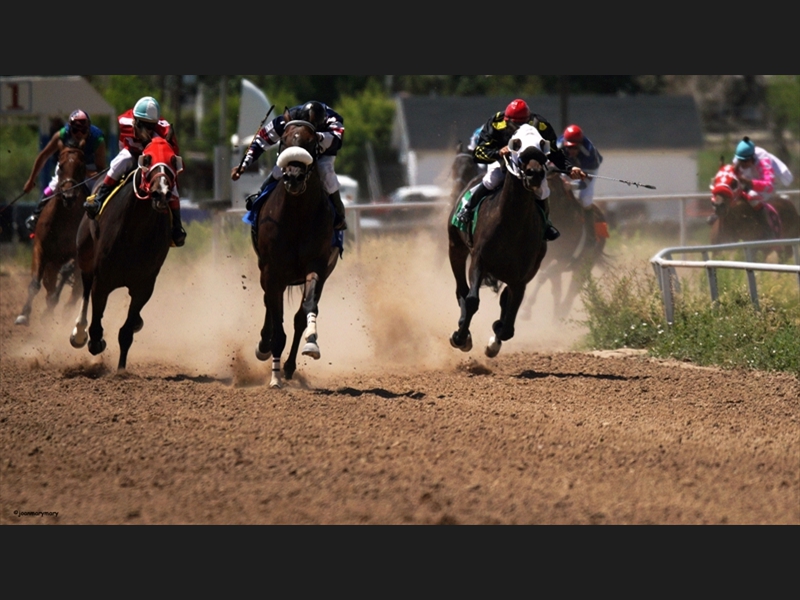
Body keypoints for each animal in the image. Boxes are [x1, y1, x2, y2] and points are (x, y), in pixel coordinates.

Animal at [15, 142, 87, 326]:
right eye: (60, 166)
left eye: (81, 167)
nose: (69, 196)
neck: (63, 220)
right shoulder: (41, 248)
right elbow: (35, 283)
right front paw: (24, 314)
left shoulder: (76, 254)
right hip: (52, 263)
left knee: (75, 292)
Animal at [68, 138, 184, 370]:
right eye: (147, 159)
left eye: (172, 160)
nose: (161, 193)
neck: (135, 233)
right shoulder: (102, 280)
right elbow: (96, 324)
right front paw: (95, 341)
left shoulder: (144, 286)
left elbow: (126, 332)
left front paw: (121, 369)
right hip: (85, 253)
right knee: (85, 287)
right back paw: (79, 333)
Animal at [250, 118, 338, 390]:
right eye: (284, 140)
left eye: (311, 142)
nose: (294, 177)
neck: (297, 215)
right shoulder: (272, 271)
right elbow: (276, 322)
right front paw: (274, 376)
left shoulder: (317, 265)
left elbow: (306, 310)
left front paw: (312, 342)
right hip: (266, 273)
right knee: (268, 304)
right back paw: (265, 347)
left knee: (298, 316)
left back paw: (289, 366)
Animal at [446, 122, 552, 356]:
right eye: (516, 143)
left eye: (542, 142)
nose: (534, 173)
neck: (511, 226)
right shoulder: (479, 260)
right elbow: (472, 300)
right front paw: (460, 338)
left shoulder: (522, 277)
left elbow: (509, 324)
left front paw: (494, 339)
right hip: (455, 247)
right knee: (462, 290)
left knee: (504, 301)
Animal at [516, 170, 608, 318]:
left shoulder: (564, 260)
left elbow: (543, 275)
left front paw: (526, 309)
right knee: (558, 291)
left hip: (583, 267)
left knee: (571, 292)